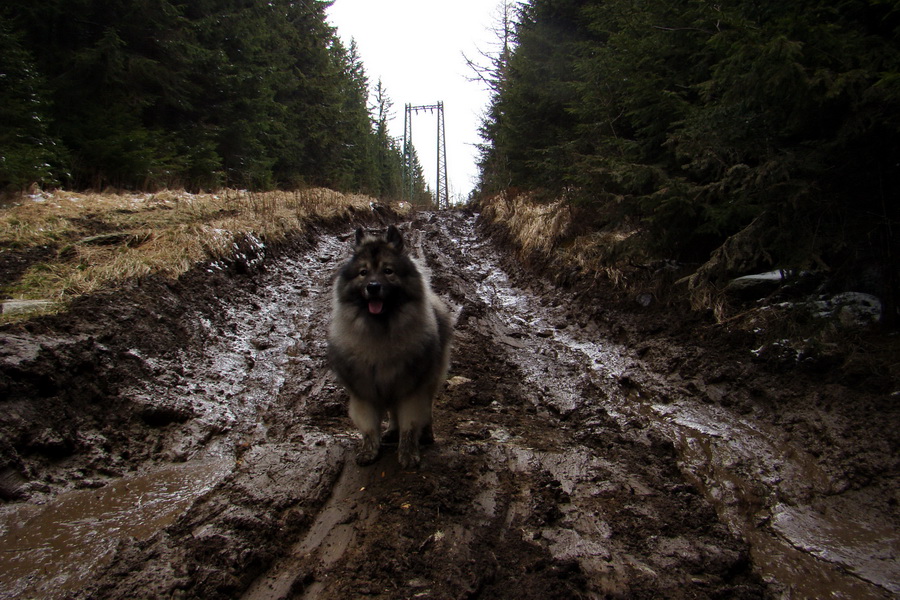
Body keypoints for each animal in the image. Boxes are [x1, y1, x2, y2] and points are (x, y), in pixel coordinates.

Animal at [328, 225, 454, 468]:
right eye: (363, 273)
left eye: (388, 271)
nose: (373, 287)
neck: (380, 330)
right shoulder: (365, 391)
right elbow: (369, 428)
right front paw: (369, 451)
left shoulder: (411, 389)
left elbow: (410, 425)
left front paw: (408, 453)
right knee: (393, 414)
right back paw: (391, 432)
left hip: (429, 379)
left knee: (427, 410)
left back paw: (426, 435)